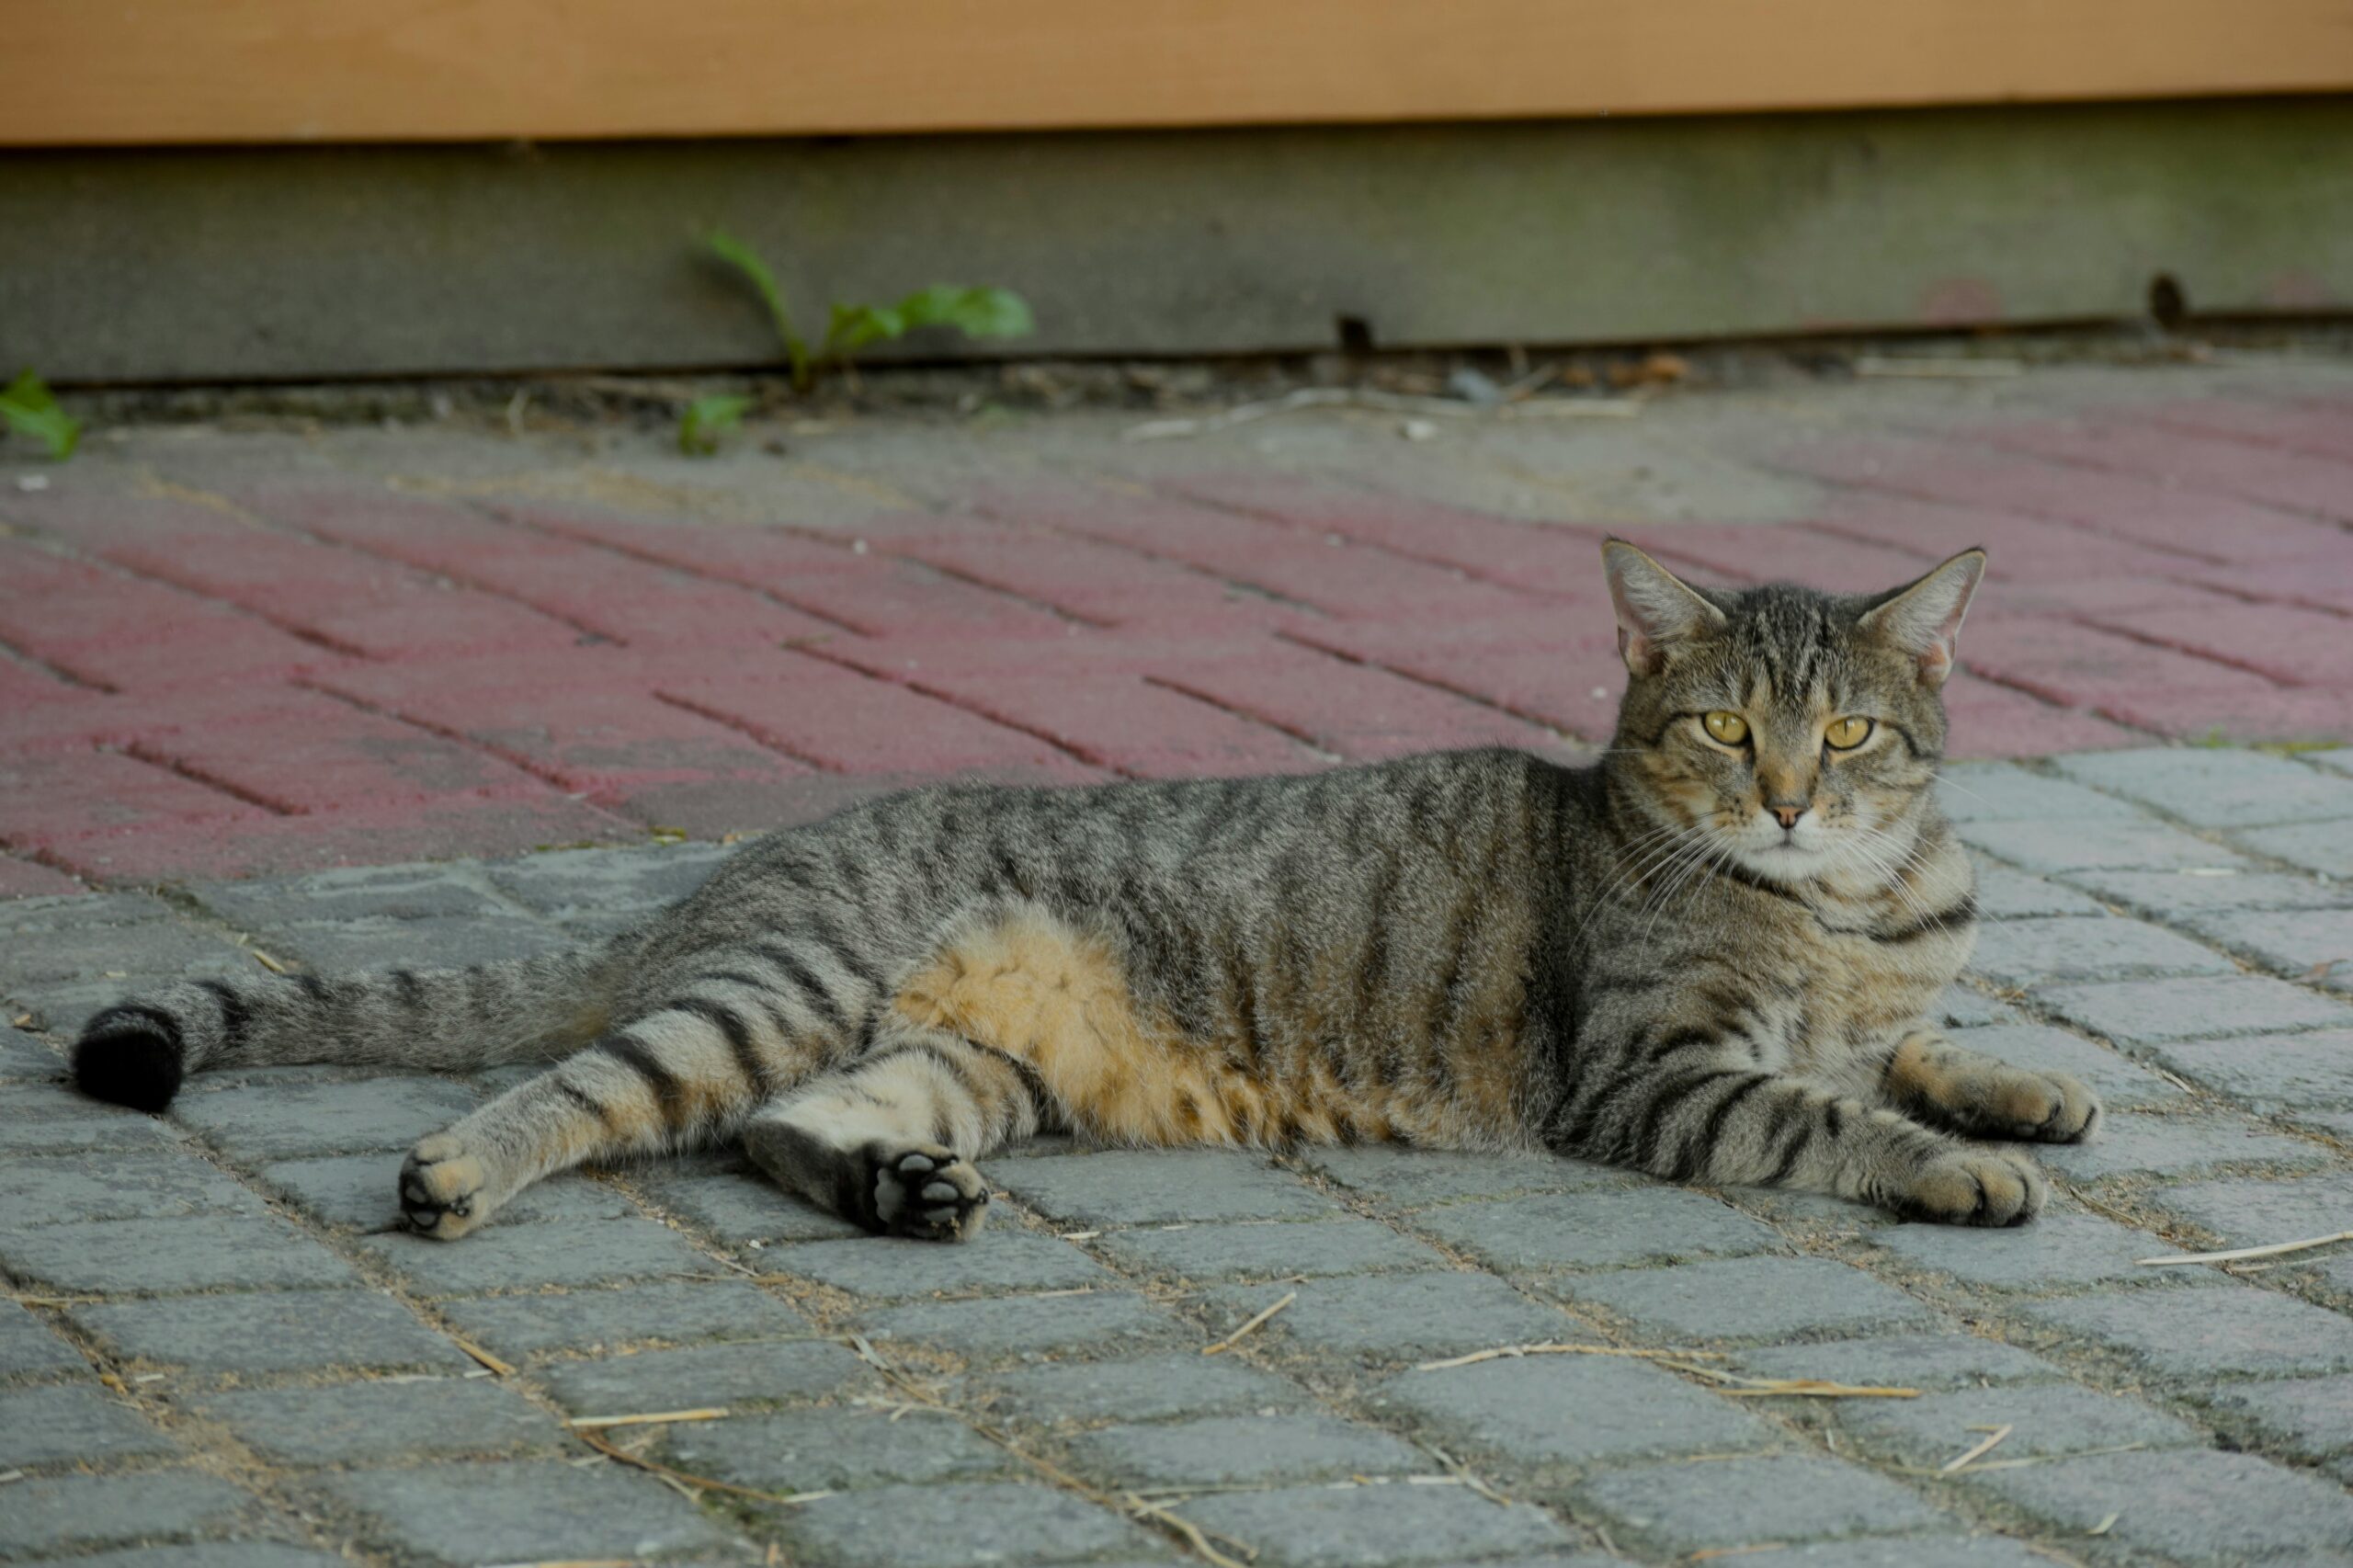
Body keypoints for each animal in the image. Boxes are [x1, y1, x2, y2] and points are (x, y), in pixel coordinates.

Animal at [68, 543, 2098, 1243]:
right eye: (1720, 731)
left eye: (1848, 729)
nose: (1783, 802)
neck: (1846, 910)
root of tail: (720, 877)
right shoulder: (1650, 1072)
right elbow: (1832, 1114)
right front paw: (1964, 1162)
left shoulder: (1869, 1000)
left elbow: (1920, 1049)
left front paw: (2022, 1086)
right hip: (779, 993)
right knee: (580, 1091)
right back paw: (454, 1172)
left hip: (964, 1064)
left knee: (782, 1132)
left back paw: (898, 1193)